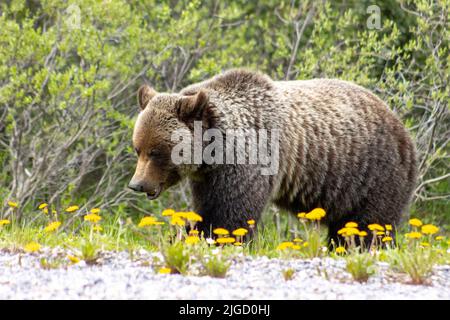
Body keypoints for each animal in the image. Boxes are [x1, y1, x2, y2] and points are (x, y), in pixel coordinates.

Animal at [129, 69, 418, 244]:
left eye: (156, 151)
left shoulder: (247, 161)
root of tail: (401, 126)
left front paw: (215, 237)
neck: (214, 152)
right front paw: (187, 233)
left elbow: (230, 214)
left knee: (368, 226)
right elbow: (206, 209)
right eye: (137, 148)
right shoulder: (207, 178)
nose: (137, 184)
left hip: (372, 174)